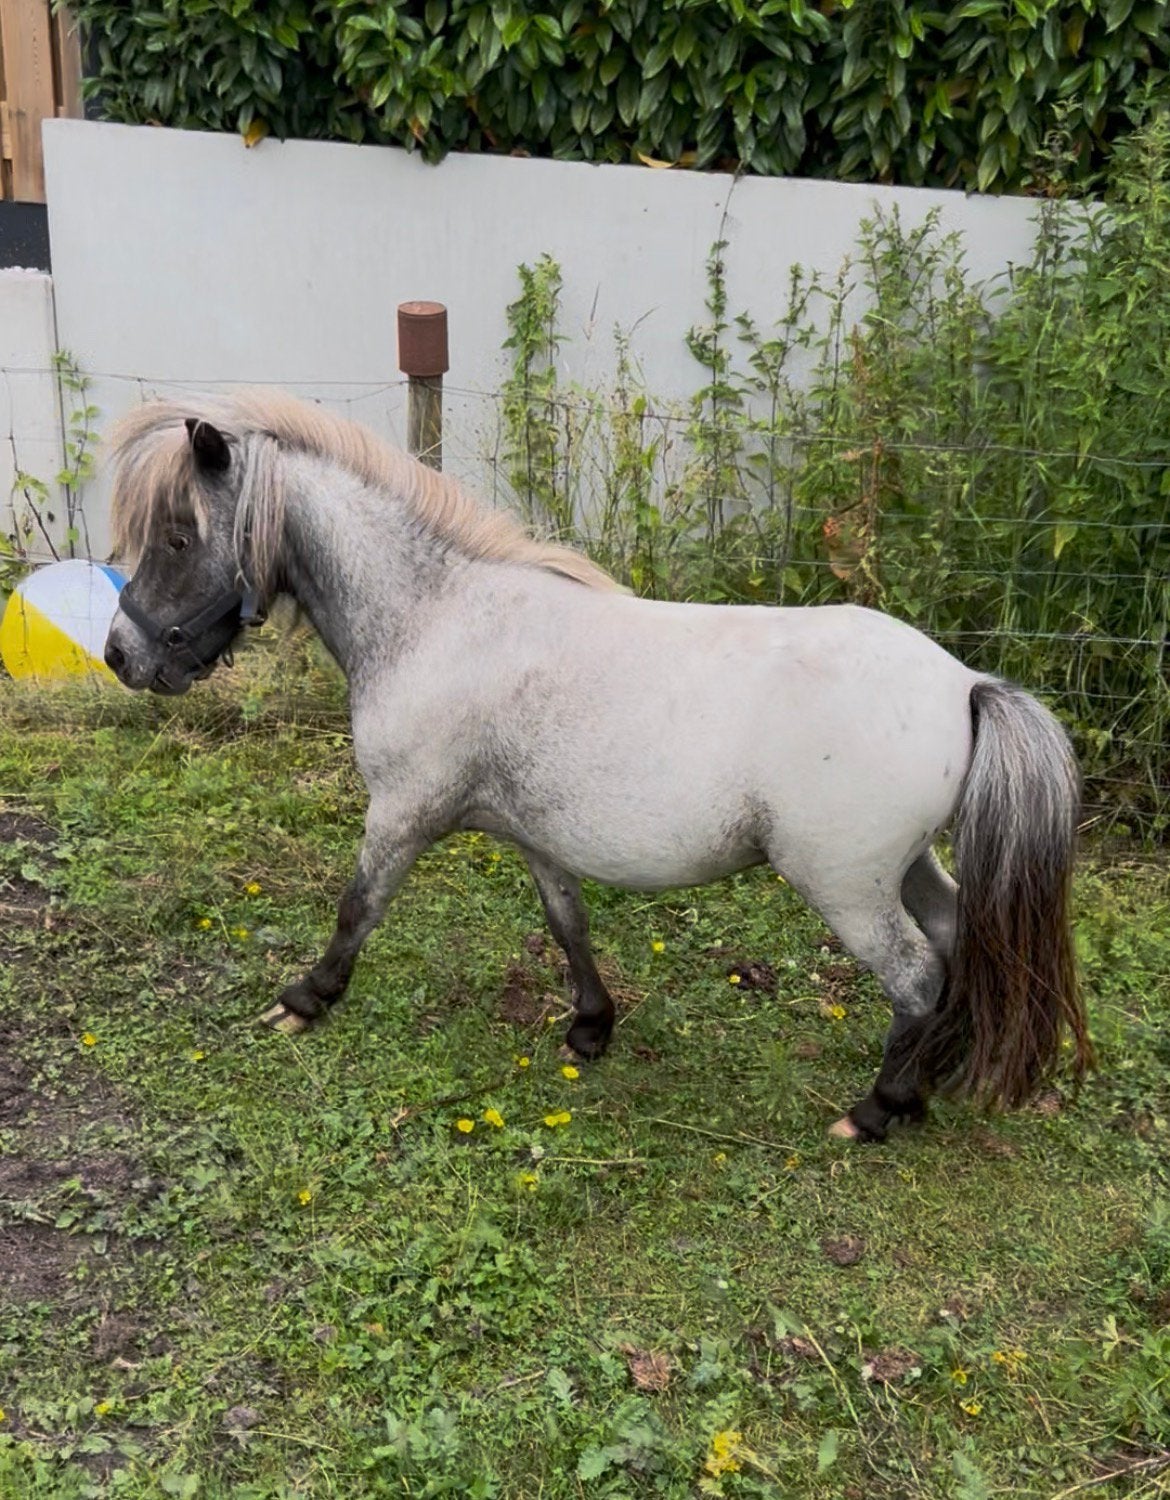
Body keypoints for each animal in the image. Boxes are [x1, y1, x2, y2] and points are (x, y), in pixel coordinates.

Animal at [102, 391, 1092, 1142]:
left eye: (180, 537)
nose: (121, 655)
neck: (438, 616)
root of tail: (964, 684)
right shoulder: (537, 837)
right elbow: (567, 924)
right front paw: (589, 1027)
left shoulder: (402, 812)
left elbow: (358, 909)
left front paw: (305, 1000)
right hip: (907, 865)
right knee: (955, 939)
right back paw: (928, 1084)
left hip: (846, 885)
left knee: (917, 977)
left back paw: (879, 1109)